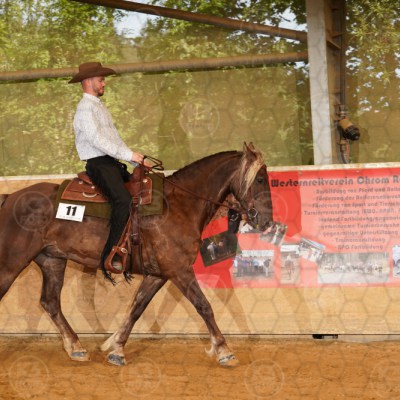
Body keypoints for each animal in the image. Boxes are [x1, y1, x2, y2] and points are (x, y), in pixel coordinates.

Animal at [0, 143, 273, 367]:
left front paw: (116, 348)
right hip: (11, 264)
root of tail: (10, 197)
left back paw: (76, 347)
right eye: (260, 179)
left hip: (52, 260)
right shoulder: (180, 270)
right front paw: (224, 351)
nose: (266, 221)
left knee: (50, 302)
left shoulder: (158, 274)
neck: (180, 205)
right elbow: (203, 306)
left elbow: (136, 307)